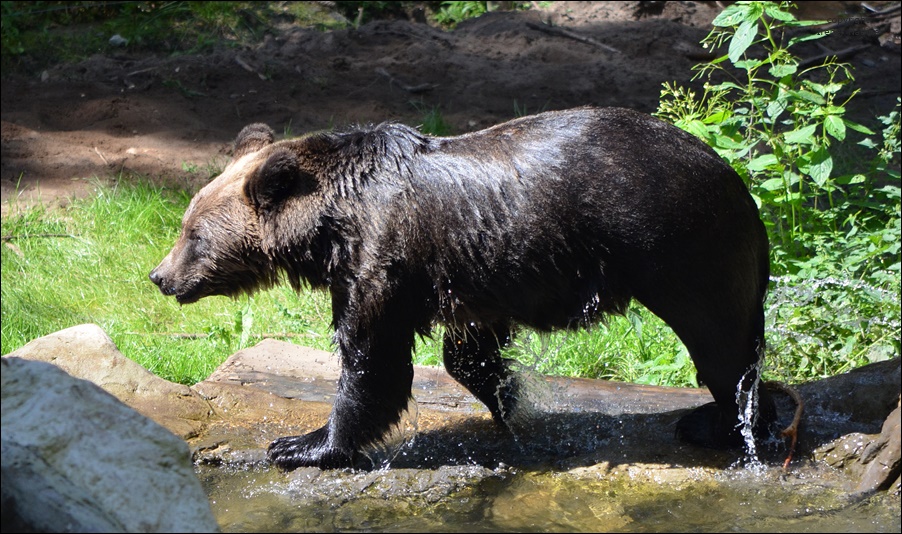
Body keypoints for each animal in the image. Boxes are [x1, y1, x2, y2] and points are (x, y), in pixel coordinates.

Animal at [152, 107, 780, 472]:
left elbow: (371, 363)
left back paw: (720, 423)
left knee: (722, 343)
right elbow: (468, 352)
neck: (332, 225)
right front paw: (511, 403)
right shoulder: (466, 274)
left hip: (682, 245)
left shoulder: (382, 261)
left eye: (193, 234)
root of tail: (736, 176)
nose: (160, 276)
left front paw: (302, 444)